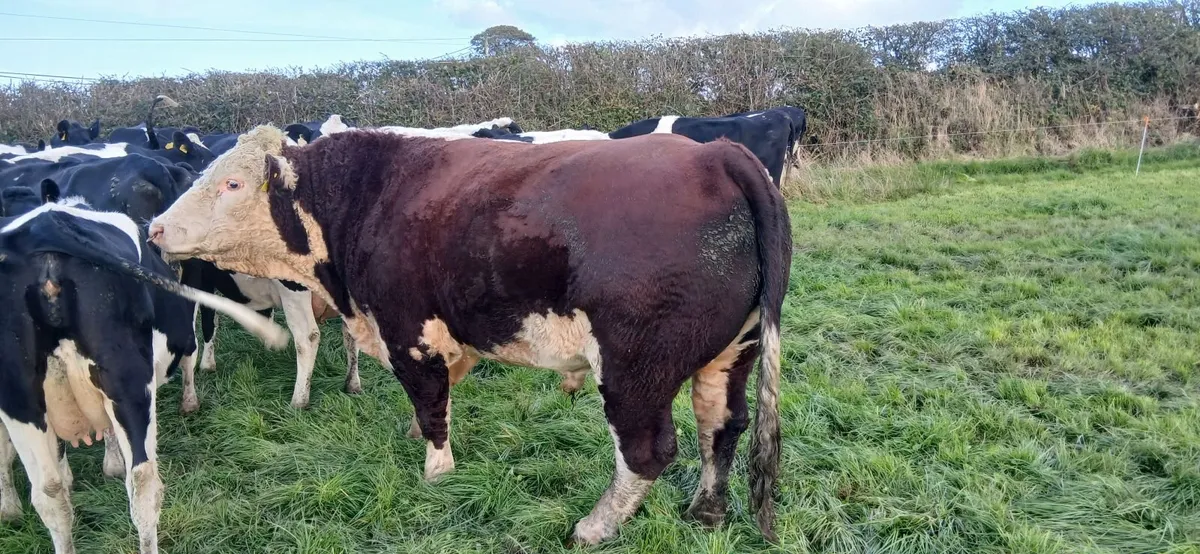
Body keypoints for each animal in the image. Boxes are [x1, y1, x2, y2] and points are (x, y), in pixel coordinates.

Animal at [0, 194, 287, 554]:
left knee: (49, 493)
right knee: (143, 482)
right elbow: (192, 355)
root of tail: (46, 226)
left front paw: (108, 463)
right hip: (131, 388)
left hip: (20, 400)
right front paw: (190, 402)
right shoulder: (184, 330)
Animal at [148, 125, 791, 545]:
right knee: (721, 426)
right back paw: (706, 511)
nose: (154, 228)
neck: (364, 198)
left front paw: (436, 471)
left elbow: (432, 401)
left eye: (232, 184)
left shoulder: (409, 332)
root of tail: (718, 155)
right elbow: (438, 396)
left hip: (634, 368)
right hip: (732, 351)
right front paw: (416, 436)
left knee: (648, 451)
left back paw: (594, 525)